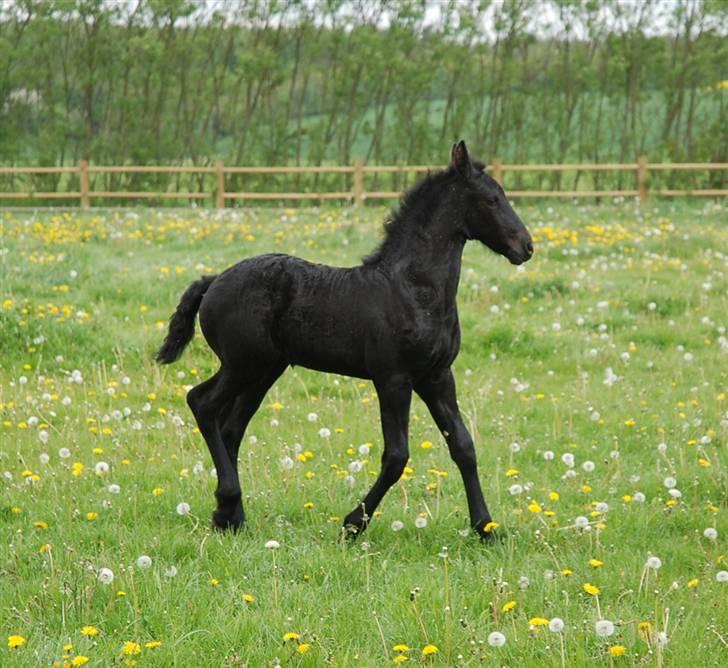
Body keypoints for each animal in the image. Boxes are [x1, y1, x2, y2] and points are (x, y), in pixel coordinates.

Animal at [156, 141, 532, 536]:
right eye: (491, 200)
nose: (526, 246)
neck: (413, 290)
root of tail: (214, 279)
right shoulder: (394, 379)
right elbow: (397, 456)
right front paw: (353, 524)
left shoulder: (437, 376)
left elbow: (463, 446)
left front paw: (485, 527)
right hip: (242, 364)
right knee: (202, 404)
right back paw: (227, 503)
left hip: (264, 371)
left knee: (230, 428)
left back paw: (232, 516)